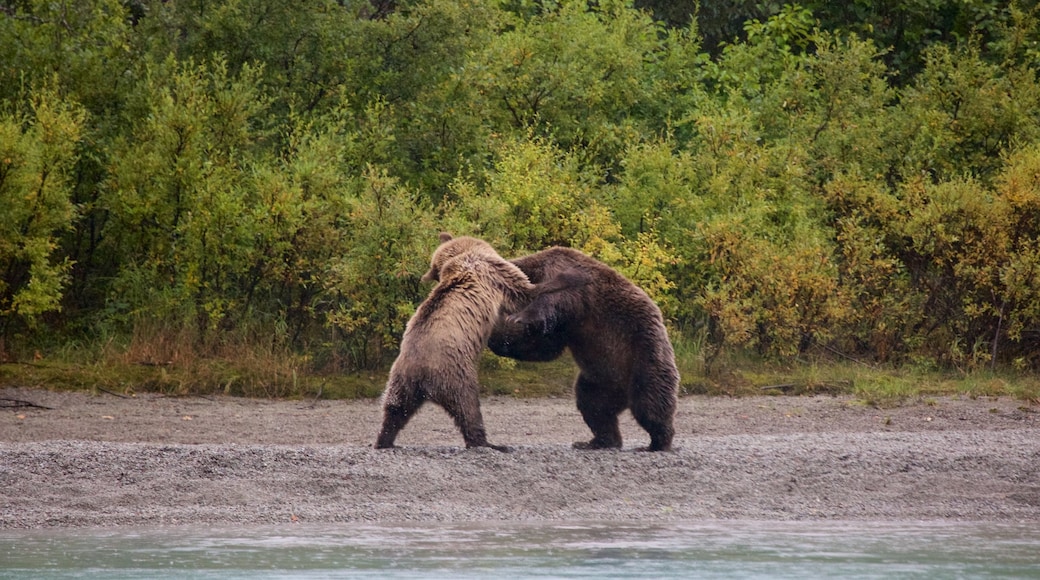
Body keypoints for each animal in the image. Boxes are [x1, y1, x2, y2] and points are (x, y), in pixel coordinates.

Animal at [488, 247, 682, 453]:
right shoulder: (567, 325)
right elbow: (545, 346)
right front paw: (497, 337)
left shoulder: (571, 286)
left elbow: (551, 303)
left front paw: (517, 318)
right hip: (601, 379)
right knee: (593, 404)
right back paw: (596, 441)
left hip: (644, 354)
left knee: (650, 401)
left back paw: (657, 442)